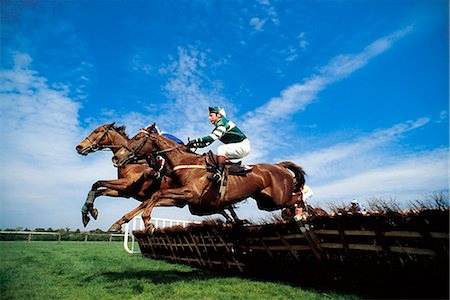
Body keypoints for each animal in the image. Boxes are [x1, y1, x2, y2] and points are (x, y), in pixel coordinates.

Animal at [111, 123, 306, 231]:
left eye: (137, 138)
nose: (117, 157)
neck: (185, 161)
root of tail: (279, 166)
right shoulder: (183, 198)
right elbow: (153, 198)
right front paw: (134, 222)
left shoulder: (192, 193)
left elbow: (155, 195)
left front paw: (147, 223)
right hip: (266, 202)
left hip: (278, 198)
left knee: (298, 197)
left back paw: (303, 216)